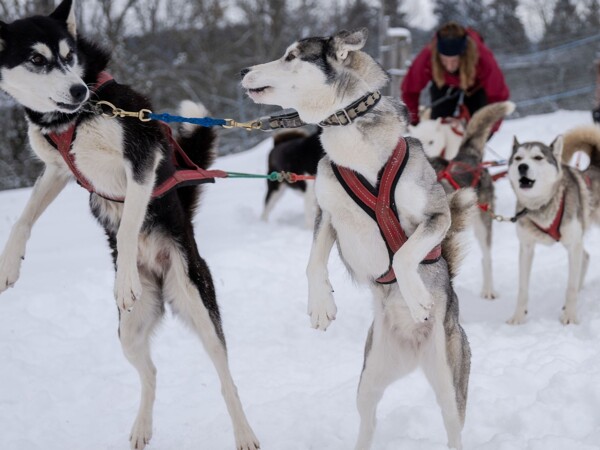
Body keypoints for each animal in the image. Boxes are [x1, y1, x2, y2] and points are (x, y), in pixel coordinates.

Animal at [0, 1, 258, 448]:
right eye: (36, 59)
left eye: (68, 55)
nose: (78, 91)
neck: (72, 118)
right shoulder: (57, 170)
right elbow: (23, 218)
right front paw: (9, 264)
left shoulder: (142, 158)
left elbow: (126, 227)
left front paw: (123, 279)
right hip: (129, 335)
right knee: (151, 372)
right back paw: (142, 426)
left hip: (199, 305)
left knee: (226, 378)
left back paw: (243, 431)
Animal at [243, 29, 474, 450]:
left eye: (290, 57)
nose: (242, 71)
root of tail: (413, 350)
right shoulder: (327, 213)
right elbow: (313, 262)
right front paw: (320, 306)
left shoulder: (437, 215)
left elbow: (403, 256)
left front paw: (417, 298)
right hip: (368, 382)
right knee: (368, 420)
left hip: (450, 385)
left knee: (453, 426)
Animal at [506, 125, 600, 326]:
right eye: (518, 158)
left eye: (537, 157)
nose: (522, 166)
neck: (542, 206)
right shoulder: (526, 248)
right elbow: (522, 289)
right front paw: (518, 316)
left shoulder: (573, 245)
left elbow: (570, 287)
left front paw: (570, 316)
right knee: (585, 257)